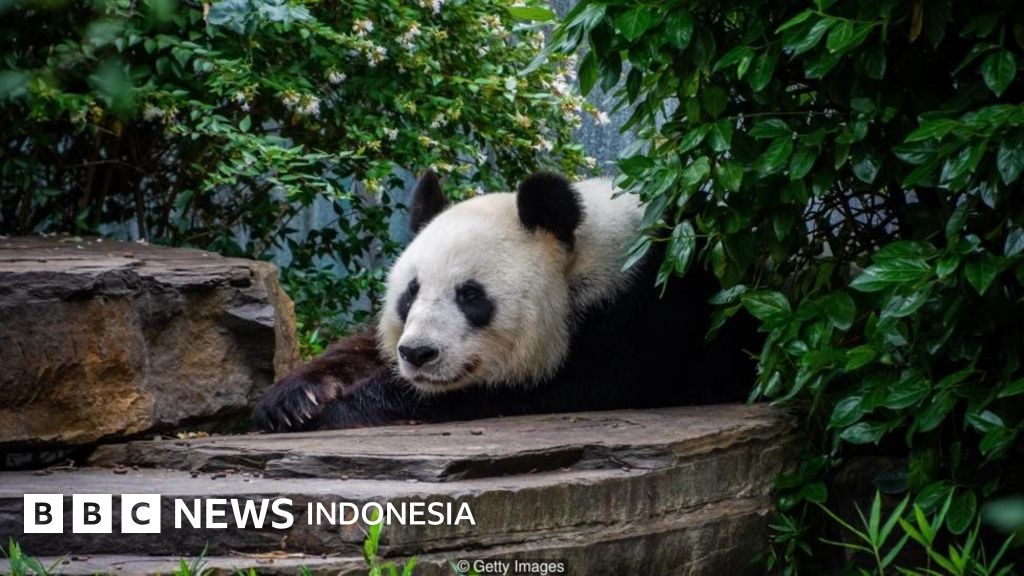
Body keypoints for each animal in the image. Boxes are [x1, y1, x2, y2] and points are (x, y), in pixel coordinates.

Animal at [254, 171, 758, 432]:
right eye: (410, 294)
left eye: (470, 296)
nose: (418, 353)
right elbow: (362, 348)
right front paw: (295, 399)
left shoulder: (641, 320)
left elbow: (535, 386)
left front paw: (341, 409)